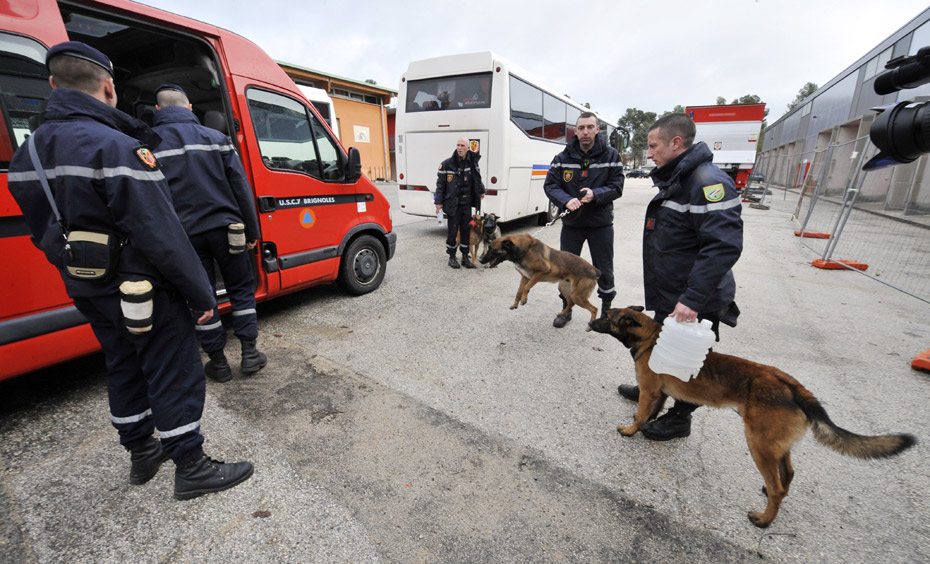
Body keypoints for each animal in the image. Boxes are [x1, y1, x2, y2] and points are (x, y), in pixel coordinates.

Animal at [588, 306, 912, 528]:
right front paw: (643, 424)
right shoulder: (660, 393)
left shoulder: (649, 391)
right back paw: (770, 495)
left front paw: (631, 429)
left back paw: (765, 519)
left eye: (607, 316)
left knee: (778, 485)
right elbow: (652, 411)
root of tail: (793, 386)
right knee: (787, 474)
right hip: (775, 444)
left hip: (758, 443)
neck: (653, 338)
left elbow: (644, 413)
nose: (590, 322)